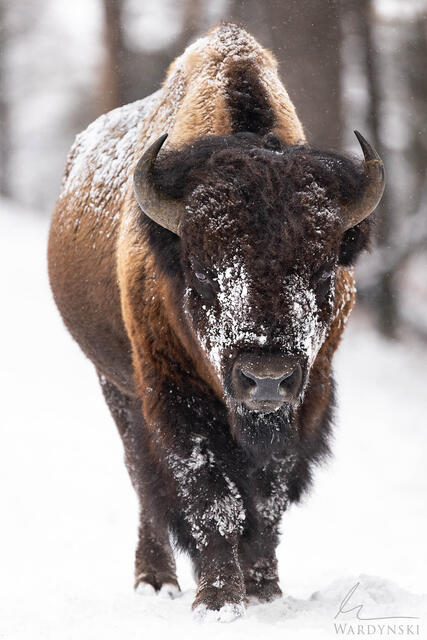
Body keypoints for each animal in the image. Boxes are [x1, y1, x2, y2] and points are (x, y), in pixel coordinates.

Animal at [48, 23, 384, 621]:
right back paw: (155, 579)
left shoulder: (306, 397)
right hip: (116, 385)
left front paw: (265, 590)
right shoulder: (173, 395)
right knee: (143, 479)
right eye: (203, 272)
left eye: (324, 270)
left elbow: (267, 499)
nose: (266, 378)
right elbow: (210, 495)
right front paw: (220, 600)